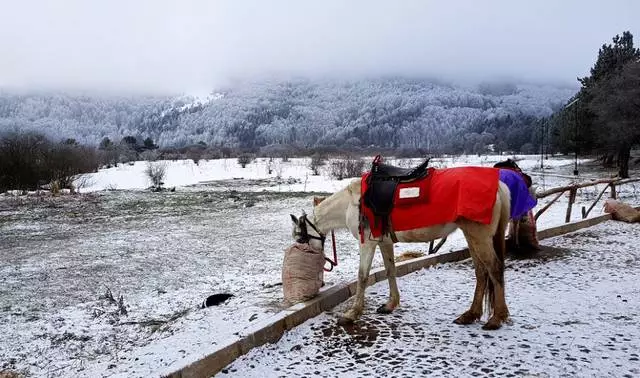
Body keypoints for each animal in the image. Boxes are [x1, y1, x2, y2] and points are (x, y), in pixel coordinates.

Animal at [292, 176, 512, 330]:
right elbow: (391, 270)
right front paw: (390, 304)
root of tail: (499, 185)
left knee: (494, 268)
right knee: (481, 272)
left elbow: (362, 276)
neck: (352, 203)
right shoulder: (384, 242)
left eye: (300, 238)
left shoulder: (367, 244)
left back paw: (496, 318)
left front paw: (352, 314)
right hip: (471, 236)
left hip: (478, 236)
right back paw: (470, 315)